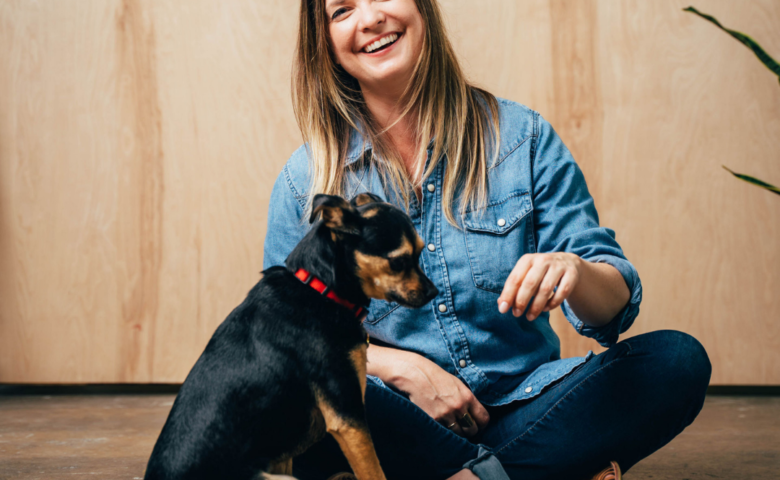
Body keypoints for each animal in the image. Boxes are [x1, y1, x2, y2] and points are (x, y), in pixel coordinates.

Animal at [145, 193, 438, 480]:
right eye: (398, 261)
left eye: (421, 253)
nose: (434, 293)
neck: (320, 289)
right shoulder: (347, 416)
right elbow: (374, 472)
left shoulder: (285, 454)